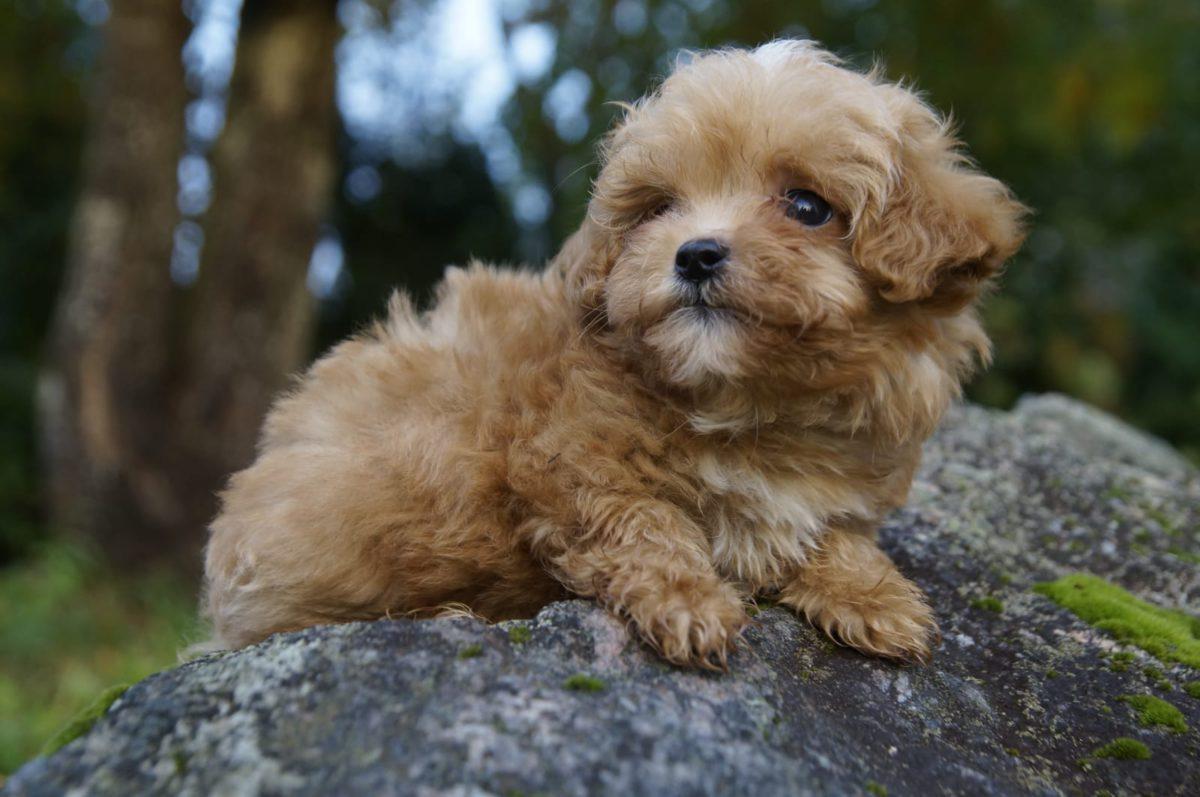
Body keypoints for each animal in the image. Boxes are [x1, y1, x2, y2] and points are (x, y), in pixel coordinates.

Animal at [204, 42, 1022, 667]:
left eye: (807, 206)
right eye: (660, 208)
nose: (695, 254)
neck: (745, 403)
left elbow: (834, 533)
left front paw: (875, 596)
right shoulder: (566, 462)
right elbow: (642, 522)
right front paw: (691, 604)